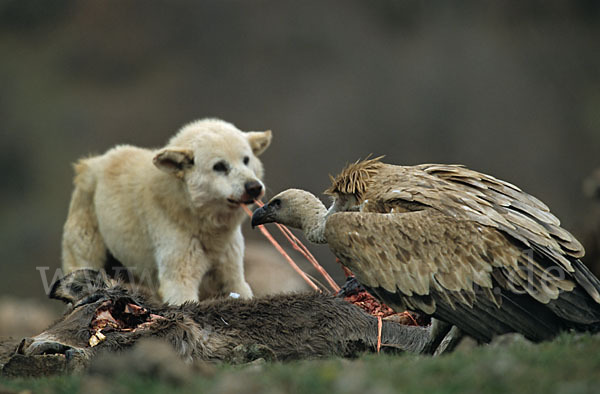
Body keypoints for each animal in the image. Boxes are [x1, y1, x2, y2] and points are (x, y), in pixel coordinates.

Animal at [61, 118, 272, 304]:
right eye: (219, 166)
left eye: (246, 160)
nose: (254, 187)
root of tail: (90, 163)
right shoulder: (178, 278)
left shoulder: (232, 273)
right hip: (87, 255)